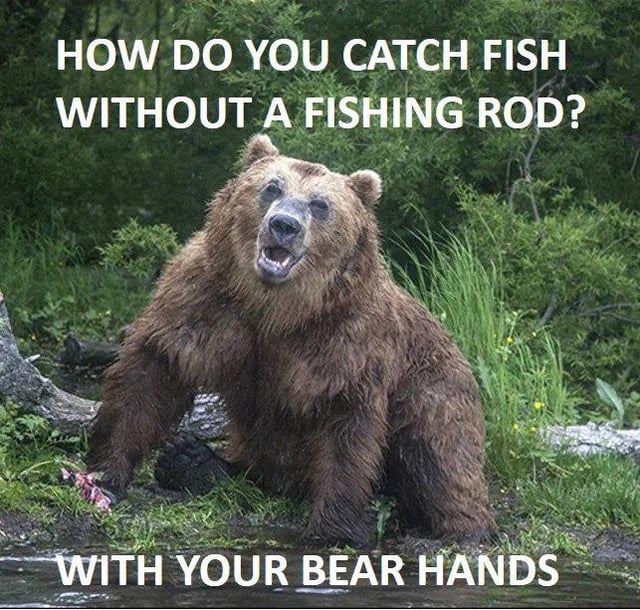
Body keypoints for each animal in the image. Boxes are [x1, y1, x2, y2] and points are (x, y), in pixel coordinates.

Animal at [86, 135, 494, 545]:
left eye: (320, 204)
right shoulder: (205, 298)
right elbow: (154, 370)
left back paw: (458, 527)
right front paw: (107, 472)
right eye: (271, 187)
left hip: (433, 393)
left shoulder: (345, 337)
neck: (276, 308)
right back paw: (192, 462)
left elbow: (345, 424)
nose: (284, 225)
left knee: (438, 457)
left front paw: (333, 529)